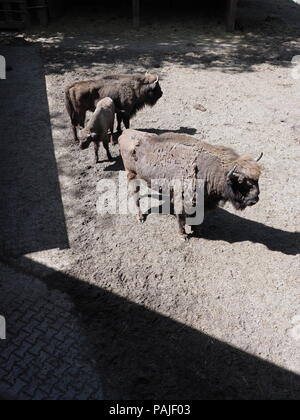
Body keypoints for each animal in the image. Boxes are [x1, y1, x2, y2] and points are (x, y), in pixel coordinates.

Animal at [119, 128, 262, 240]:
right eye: (241, 181)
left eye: (257, 179)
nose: (254, 200)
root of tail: (125, 133)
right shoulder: (182, 199)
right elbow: (181, 216)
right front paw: (183, 235)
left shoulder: (201, 201)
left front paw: (197, 230)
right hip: (131, 174)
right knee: (135, 194)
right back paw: (140, 217)